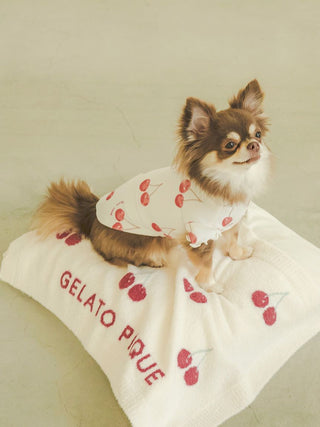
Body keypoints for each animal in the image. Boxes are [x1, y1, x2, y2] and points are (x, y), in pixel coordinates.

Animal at [33, 79, 272, 294]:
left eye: (258, 134)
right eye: (230, 145)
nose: (254, 145)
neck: (231, 180)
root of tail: (89, 214)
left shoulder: (231, 220)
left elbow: (233, 237)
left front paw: (238, 254)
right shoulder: (199, 235)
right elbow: (207, 262)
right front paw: (210, 285)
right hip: (150, 243)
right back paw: (154, 262)